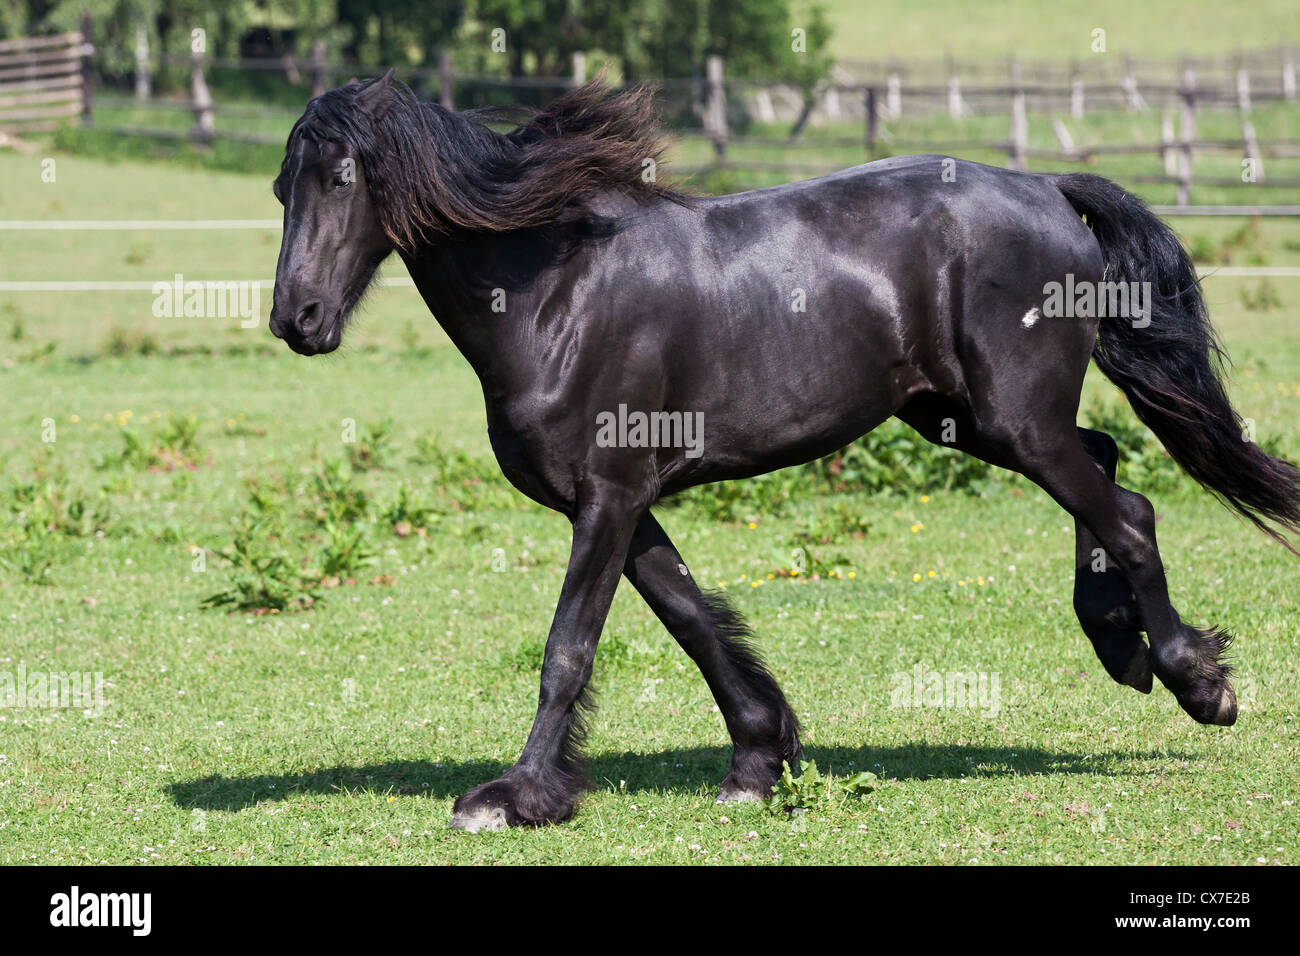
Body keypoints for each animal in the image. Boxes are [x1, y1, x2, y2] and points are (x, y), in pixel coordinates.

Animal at [268, 71, 1300, 831]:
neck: (554, 293)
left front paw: (513, 797)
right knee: (1114, 470)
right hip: (967, 418)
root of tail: (1048, 188)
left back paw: (1196, 681)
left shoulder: (608, 495)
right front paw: (759, 762)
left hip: (1016, 423)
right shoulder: (621, 501)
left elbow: (568, 646)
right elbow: (691, 619)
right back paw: (1122, 645)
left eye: (344, 178)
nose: (296, 320)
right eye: (284, 187)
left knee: (1124, 511)